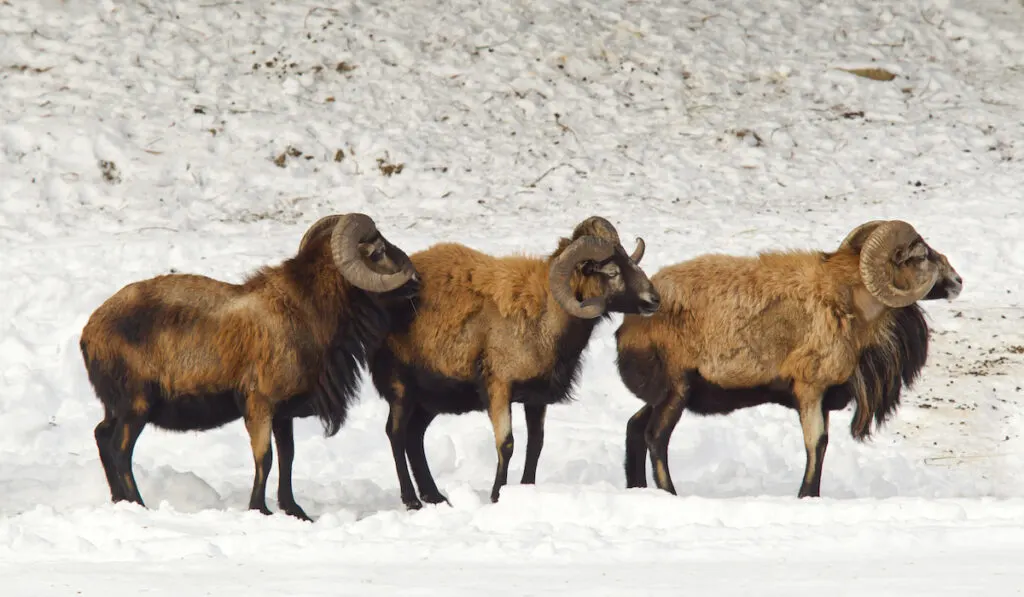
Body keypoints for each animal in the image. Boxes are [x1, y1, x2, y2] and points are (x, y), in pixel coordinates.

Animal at [77, 212, 417, 520]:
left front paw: (295, 510)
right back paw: (138, 504)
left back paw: (119, 500)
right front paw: (260, 509)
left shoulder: (283, 414)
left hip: (116, 406)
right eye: (378, 251)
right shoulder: (259, 403)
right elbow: (264, 457)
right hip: (136, 405)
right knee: (120, 450)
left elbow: (288, 457)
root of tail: (90, 332)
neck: (306, 310)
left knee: (101, 436)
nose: (415, 279)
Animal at [368, 216, 663, 509]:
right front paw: (497, 495)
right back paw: (412, 500)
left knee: (414, 435)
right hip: (402, 386)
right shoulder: (499, 387)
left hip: (432, 397)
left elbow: (536, 445)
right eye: (612, 272)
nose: (654, 300)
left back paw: (435, 497)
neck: (544, 316)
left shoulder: (536, 398)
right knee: (396, 433)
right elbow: (506, 444)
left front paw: (525, 489)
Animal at [614, 219, 958, 499]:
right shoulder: (810, 387)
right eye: (920, 255)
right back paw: (669, 493)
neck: (850, 302)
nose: (957, 281)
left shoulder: (823, 397)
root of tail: (630, 324)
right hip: (677, 388)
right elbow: (816, 443)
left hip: (666, 394)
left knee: (634, 427)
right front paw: (807, 495)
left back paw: (638, 488)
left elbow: (822, 444)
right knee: (655, 437)